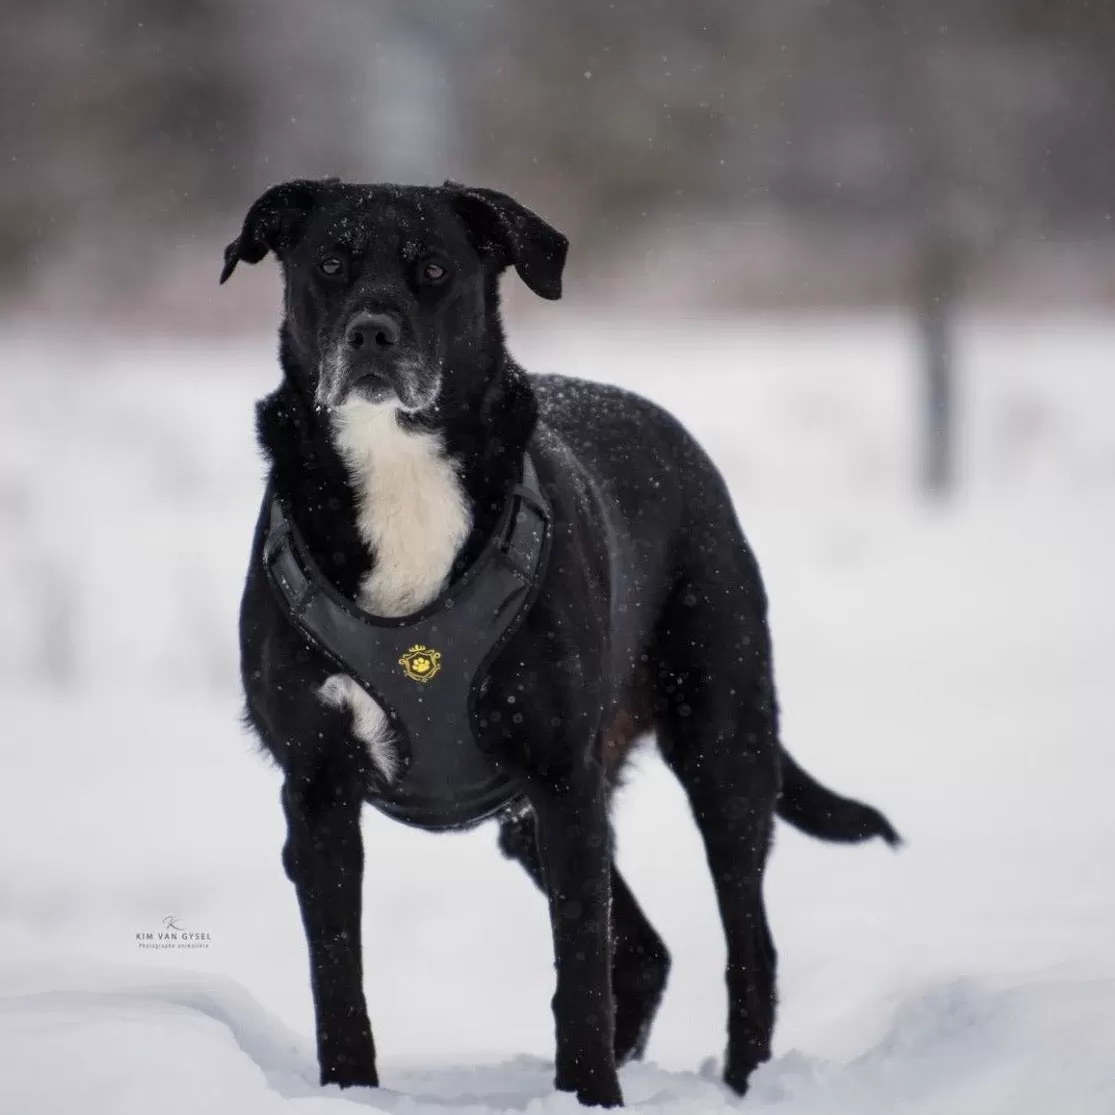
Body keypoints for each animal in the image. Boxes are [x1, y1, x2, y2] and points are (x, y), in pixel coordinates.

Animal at [224, 178, 896, 1110]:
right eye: (329, 262)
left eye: (435, 269)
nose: (371, 332)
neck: (401, 470)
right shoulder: (318, 785)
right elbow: (337, 974)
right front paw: (349, 1089)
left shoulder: (559, 777)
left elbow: (578, 962)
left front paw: (588, 1092)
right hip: (534, 817)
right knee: (645, 949)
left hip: (722, 745)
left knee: (744, 945)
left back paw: (744, 1083)